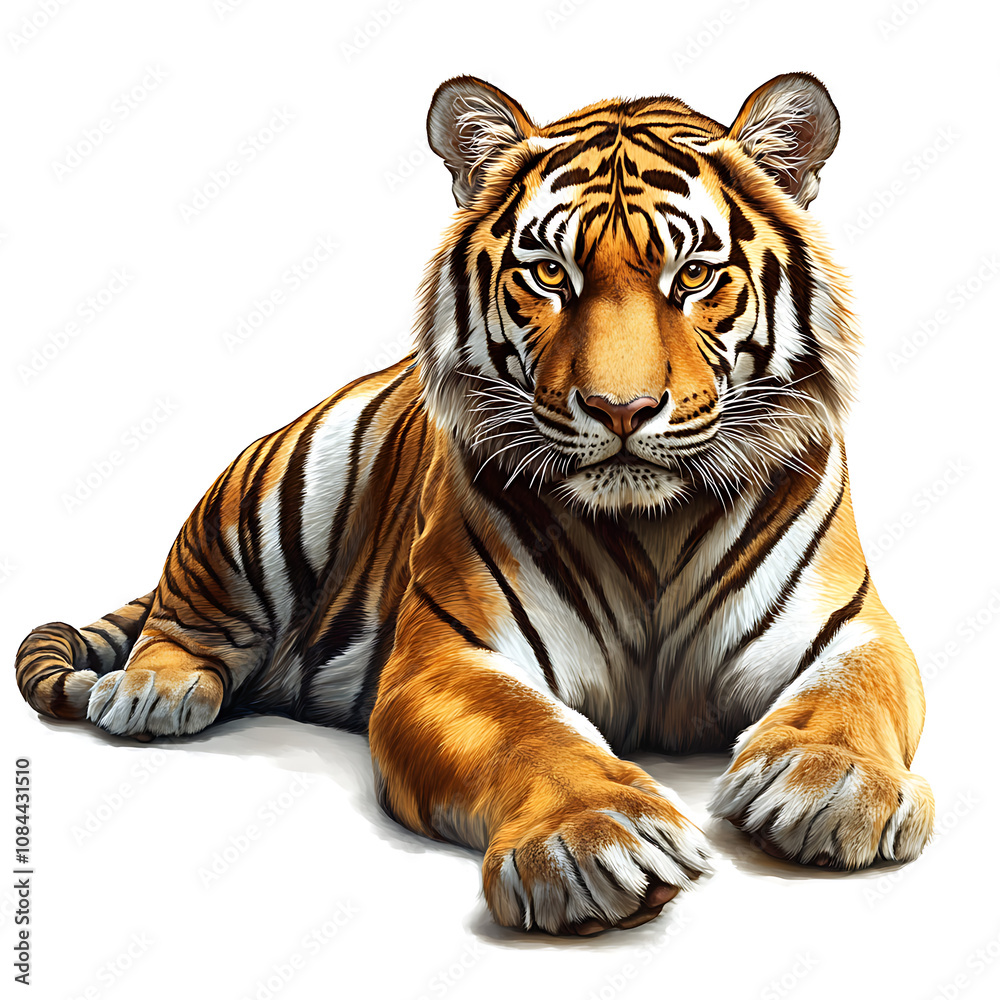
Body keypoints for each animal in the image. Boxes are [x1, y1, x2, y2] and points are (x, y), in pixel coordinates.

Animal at [16, 72, 934, 935]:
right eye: (551, 273)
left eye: (696, 276)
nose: (622, 410)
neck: (650, 533)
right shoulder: (450, 655)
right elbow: (530, 732)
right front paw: (593, 838)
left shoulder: (852, 625)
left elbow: (854, 694)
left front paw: (832, 787)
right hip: (265, 499)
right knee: (184, 613)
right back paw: (155, 692)